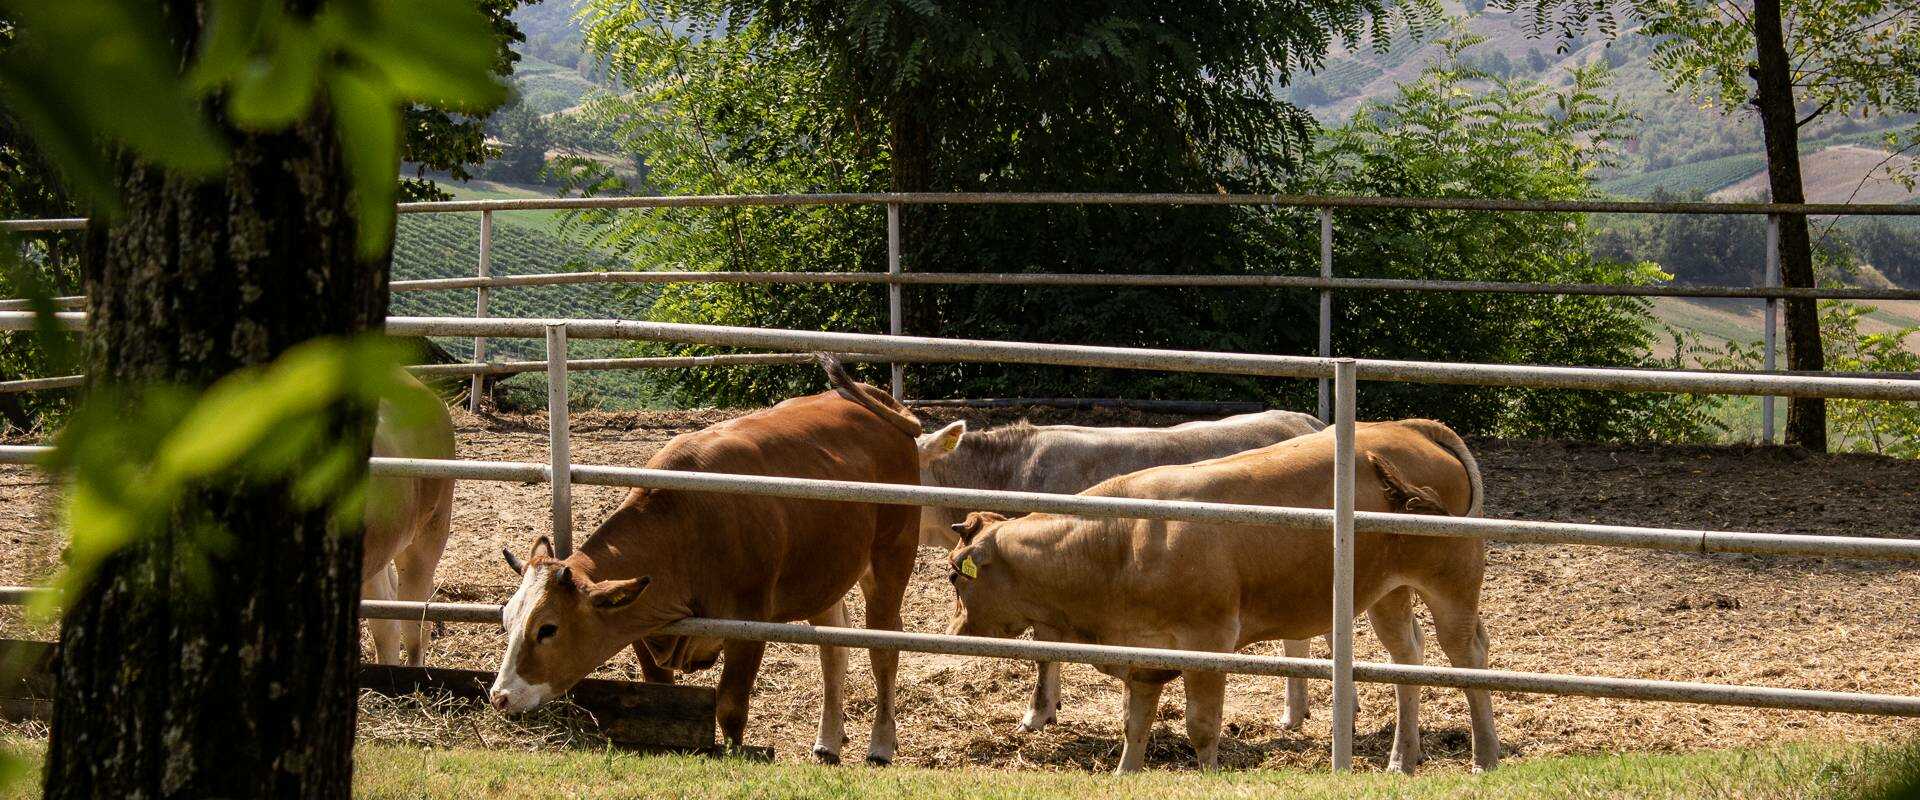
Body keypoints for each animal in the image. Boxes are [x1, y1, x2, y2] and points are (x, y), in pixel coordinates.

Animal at [487, 352, 921, 759]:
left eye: (548, 628)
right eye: (507, 620)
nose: (500, 697)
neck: (686, 525)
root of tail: (880, 405)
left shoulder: (750, 623)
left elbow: (730, 706)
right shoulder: (642, 625)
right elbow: (660, 690)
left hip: (891, 559)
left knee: (884, 648)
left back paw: (881, 744)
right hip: (824, 577)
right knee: (834, 649)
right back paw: (828, 741)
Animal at [944, 420, 1497, 771]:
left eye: (954, 576)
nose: (952, 631)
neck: (1121, 540)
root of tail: (1410, 428)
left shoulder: (1208, 640)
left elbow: (1202, 726)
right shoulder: (1143, 652)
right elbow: (1135, 723)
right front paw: (1126, 774)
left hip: (1453, 581)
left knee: (1469, 656)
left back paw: (1484, 757)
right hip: (1388, 591)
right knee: (1409, 658)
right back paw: (1402, 759)